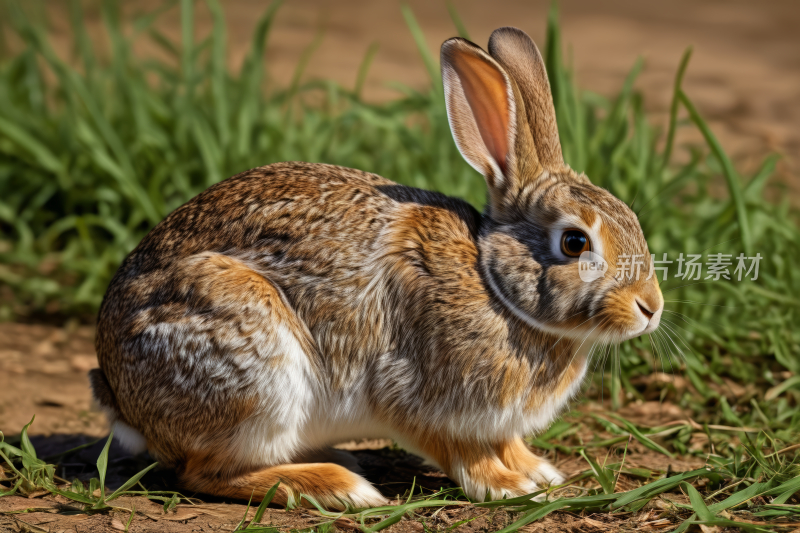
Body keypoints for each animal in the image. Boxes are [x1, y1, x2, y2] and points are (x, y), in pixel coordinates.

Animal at [89, 27, 664, 510]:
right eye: (574, 242)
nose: (650, 308)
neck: (496, 288)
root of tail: (121, 397)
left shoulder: (493, 419)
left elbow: (506, 440)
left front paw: (537, 470)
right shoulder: (417, 393)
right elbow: (459, 449)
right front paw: (506, 485)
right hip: (252, 367)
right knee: (203, 473)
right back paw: (339, 486)